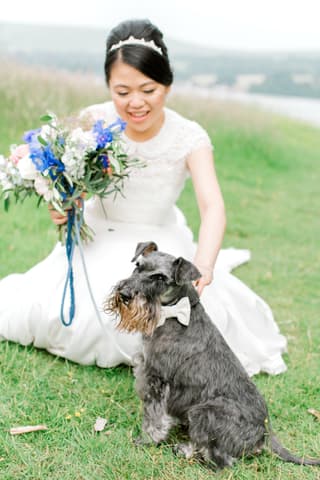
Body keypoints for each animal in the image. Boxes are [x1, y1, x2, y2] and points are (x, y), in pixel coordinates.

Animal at [105, 240, 320, 468]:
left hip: (203, 411)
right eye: (138, 266)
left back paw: (186, 450)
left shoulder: (157, 379)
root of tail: (265, 432)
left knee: (221, 460)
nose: (125, 294)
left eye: (160, 278)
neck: (173, 314)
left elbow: (154, 416)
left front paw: (147, 439)